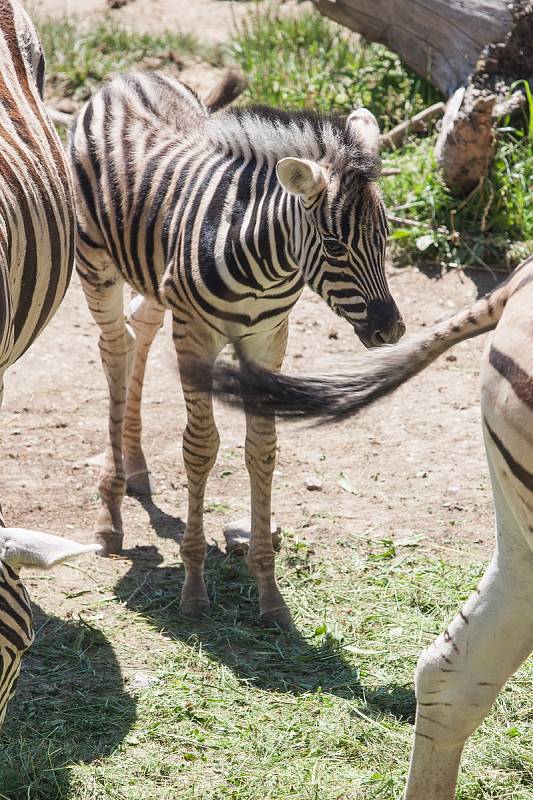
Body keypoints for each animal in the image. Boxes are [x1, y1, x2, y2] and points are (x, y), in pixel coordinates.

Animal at [70, 72, 404, 628]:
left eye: (384, 238)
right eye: (335, 246)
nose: (392, 330)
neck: (266, 265)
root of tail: (128, 77)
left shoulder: (268, 340)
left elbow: (262, 451)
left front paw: (269, 592)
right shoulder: (196, 334)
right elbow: (201, 449)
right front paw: (194, 589)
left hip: (154, 277)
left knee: (141, 330)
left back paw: (136, 468)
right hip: (95, 261)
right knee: (114, 347)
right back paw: (110, 511)